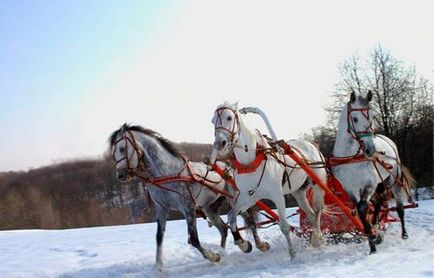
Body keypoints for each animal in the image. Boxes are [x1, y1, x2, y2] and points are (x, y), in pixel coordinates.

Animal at [209, 101, 326, 258]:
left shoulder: (277, 195)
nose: (219, 143)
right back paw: (317, 239)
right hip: (299, 192)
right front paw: (244, 244)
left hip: (318, 184)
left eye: (229, 117)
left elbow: (284, 226)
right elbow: (232, 217)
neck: (250, 163)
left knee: (318, 210)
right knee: (312, 214)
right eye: (213, 121)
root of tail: (311, 144)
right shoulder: (248, 196)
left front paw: (292, 253)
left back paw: (316, 237)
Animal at [334, 90, 416, 253]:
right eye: (355, 118)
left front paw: (372, 235)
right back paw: (376, 225)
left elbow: (362, 208)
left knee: (399, 207)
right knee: (378, 202)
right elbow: (360, 210)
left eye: (372, 117)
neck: (350, 157)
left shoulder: (370, 183)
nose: (370, 150)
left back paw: (403, 233)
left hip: (392, 180)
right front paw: (372, 242)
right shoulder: (350, 188)